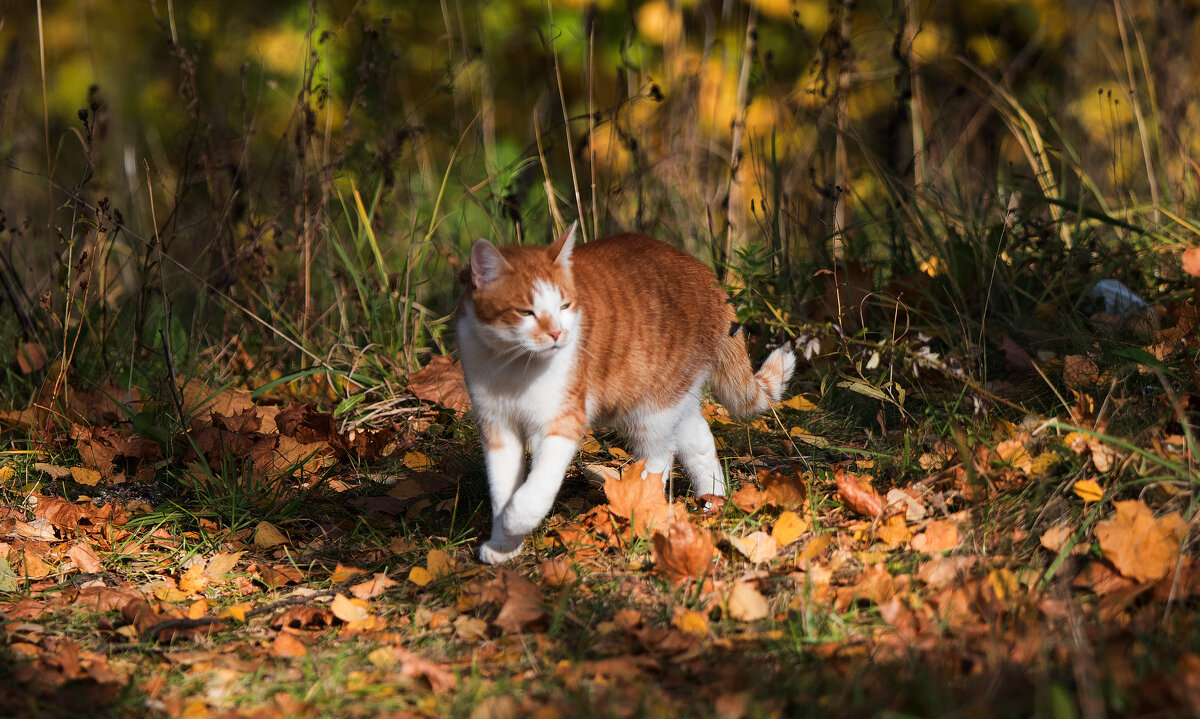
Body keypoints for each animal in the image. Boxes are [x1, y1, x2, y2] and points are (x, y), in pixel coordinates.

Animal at [458, 222, 796, 566]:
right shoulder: (497, 429)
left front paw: (517, 518)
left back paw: (642, 508)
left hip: (651, 407)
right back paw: (713, 501)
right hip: (677, 397)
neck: (513, 364)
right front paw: (503, 544)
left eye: (565, 306)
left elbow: (540, 482)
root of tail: (707, 276)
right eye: (525, 312)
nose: (557, 334)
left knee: (660, 455)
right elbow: (501, 488)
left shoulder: (563, 421)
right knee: (698, 441)